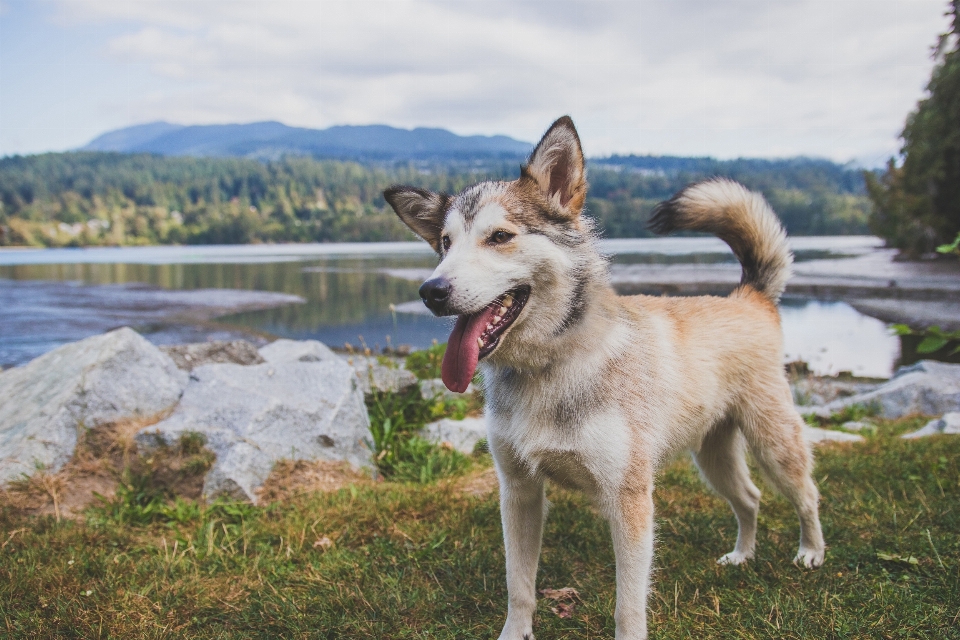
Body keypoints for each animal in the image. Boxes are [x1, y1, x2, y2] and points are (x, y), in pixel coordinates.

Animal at [382, 117, 824, 636]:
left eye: (500, 236)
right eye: (445, 244)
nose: (431, 291)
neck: (549, 367)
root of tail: (749, 296)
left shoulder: (629, 498)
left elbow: (628, 605)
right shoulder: (518, 490)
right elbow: (519, 585)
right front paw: (516, 631)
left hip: (774, 444)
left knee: (807, 495)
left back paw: (811, 551)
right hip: (713, 457)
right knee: (750, 498)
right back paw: (742, 555)